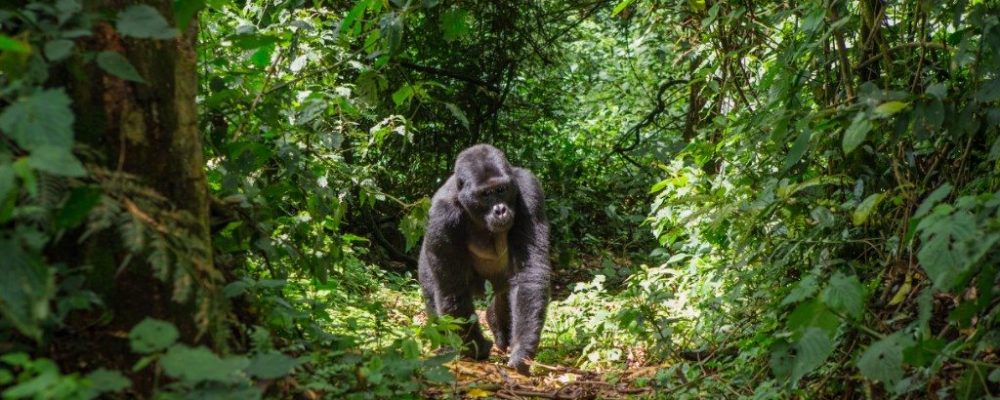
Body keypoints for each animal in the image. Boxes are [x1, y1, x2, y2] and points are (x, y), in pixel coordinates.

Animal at [418, 145, 552, 376]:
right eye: (485, 194)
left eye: (501, 190)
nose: (500, 210)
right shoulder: (442, 215)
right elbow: (453, 290)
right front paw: (476, 348)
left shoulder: (529, 190)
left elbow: (529, 273)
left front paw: (522, 349)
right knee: (433, 290)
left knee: (506, 293)